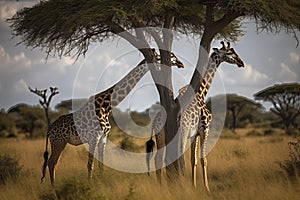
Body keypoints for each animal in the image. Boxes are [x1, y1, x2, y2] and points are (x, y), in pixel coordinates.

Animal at [40, 49, 184, 186]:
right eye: (171, 56)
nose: (181, 64)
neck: (107, 106)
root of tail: (49, 129)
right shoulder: (94, 137)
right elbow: (90, 165)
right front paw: (90, 185)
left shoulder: (103, 137)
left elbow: (101, 165)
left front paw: (101, 183)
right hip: (59, 141)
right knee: (51, 162)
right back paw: (53, 189)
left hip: (60, 142)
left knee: (53, 163)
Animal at [146, 41, 245, 192]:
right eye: (229, 52)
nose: (241, 62)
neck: (200, 93)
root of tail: (155, 121)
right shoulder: (205, 129)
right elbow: (203, 159)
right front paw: (207, 188)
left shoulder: (194, 134)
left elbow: (194, 160)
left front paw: (194, 186)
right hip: (181, 134)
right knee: (174, 157)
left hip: (161, 134)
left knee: (159, 159)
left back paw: (160, 186)